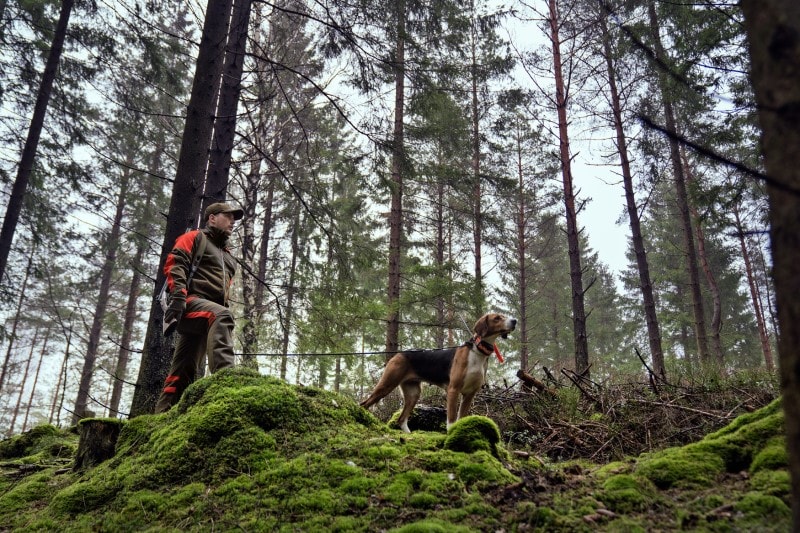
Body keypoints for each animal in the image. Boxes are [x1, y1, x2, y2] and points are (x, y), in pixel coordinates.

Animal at [360, 312, 516, 432]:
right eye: (497, 318)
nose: (515, 320)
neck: (477, 352)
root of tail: (399, 354)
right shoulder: (453, 390)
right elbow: (451, 420)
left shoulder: (470, 394)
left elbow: (461, 417)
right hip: (387, 385)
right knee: (364, 404)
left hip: (413, 393)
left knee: (401, 419)